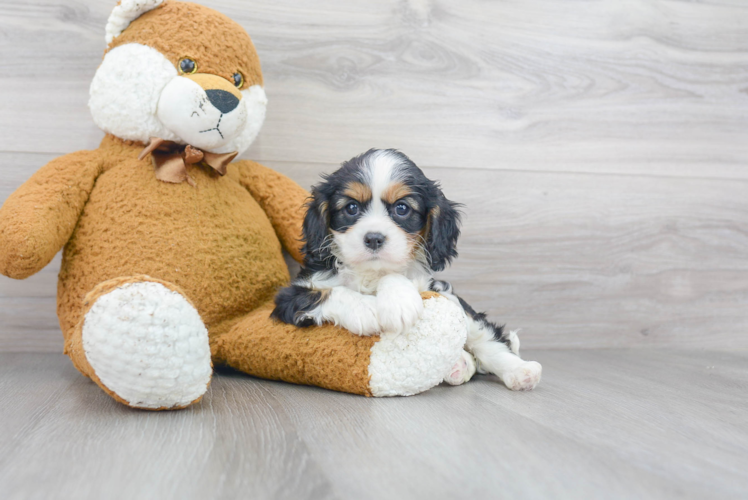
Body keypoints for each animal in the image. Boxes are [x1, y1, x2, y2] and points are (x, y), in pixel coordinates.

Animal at [272, 148, 540, 390]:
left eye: (402, 208)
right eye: (351, 208)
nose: (374, 238)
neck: (371, 273)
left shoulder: (431, 285)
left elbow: (395, 277)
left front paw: (398, 302)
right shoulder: (290, 297)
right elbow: (328, 293)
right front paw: (366, 309)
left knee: (485, 338)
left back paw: (519, 370)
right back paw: (460, 365)